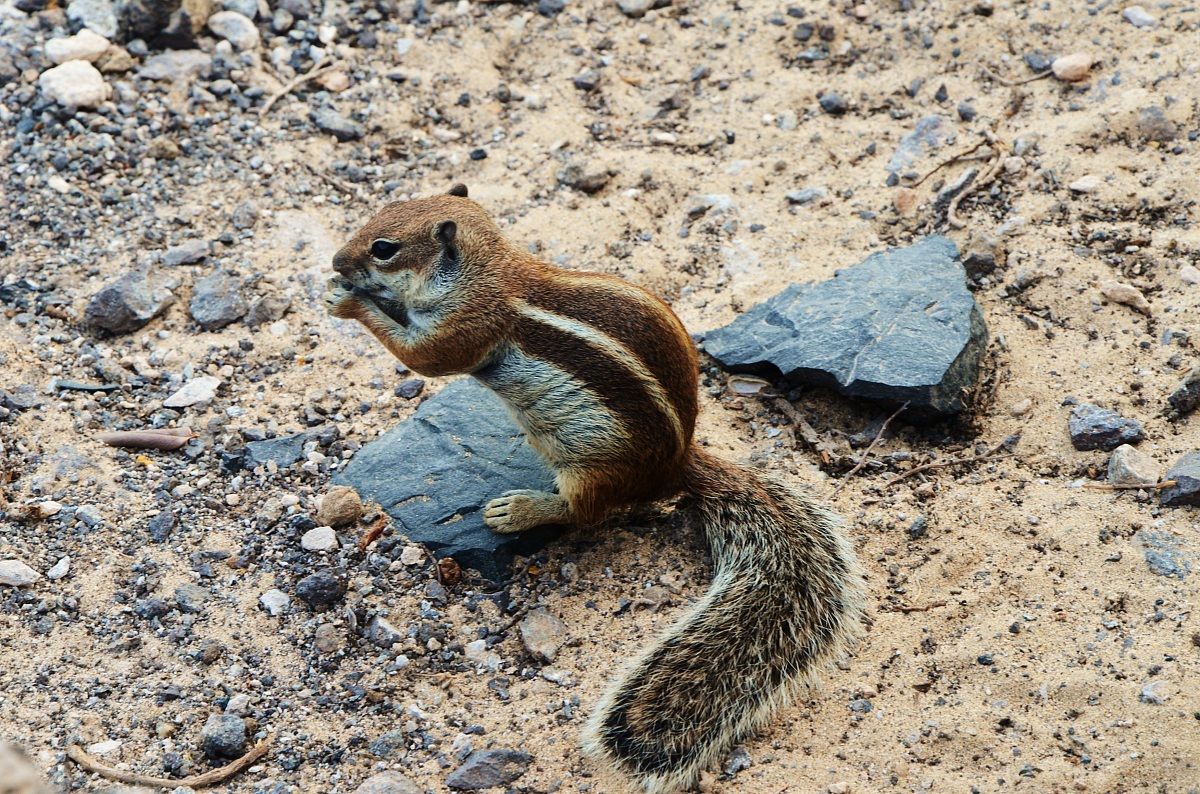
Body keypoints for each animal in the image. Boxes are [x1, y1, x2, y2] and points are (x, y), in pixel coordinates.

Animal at [324, 184, 866, 793]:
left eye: (384, 247)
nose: (336, 262)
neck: (490, 270)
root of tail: (679, 464)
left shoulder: (467, 326)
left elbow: (421, 357)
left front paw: (347, 303)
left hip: (590, 467)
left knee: (588, 512)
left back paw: (520, 509)